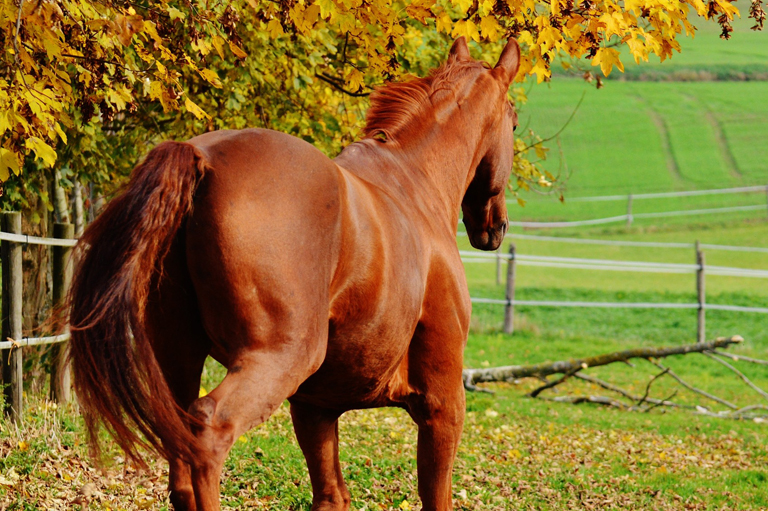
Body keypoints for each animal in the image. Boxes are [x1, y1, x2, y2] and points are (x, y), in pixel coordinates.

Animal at [69, 37, 520, 511]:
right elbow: (435, 495)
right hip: (276, 358)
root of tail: (202, 158)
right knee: (209, 430)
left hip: (178, 359)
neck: (412, 184)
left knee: (182, 467)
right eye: (513, 123)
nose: (495, 228)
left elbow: (331, 495)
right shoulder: (442, 403)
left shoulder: (314, 407)